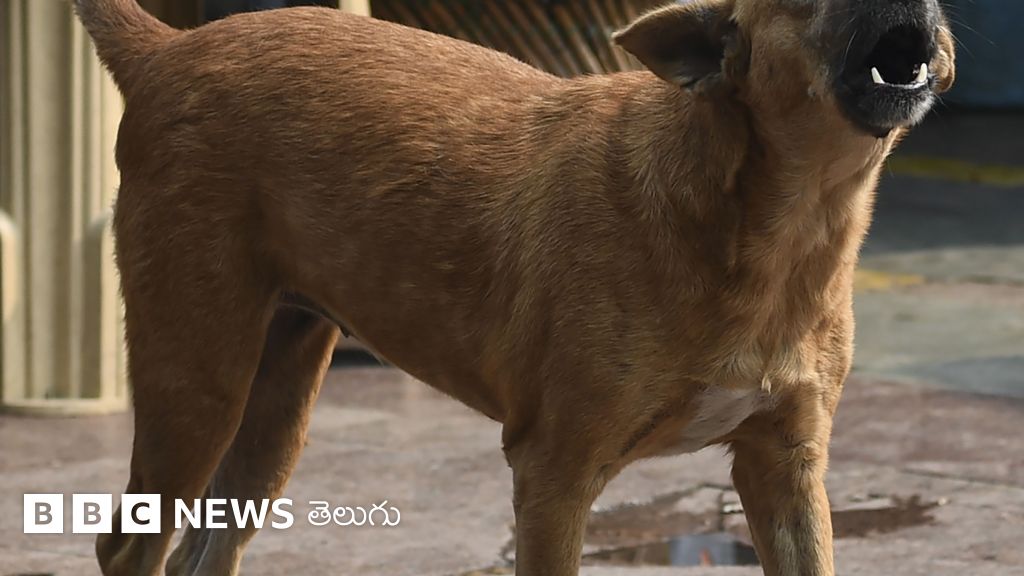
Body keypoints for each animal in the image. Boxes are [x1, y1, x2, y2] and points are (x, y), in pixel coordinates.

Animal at [73, 0, 955, 574]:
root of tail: (165, 49)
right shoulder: (554, 476)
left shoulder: (785, 470)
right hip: (198, 384)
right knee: (127, 544)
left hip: (274, 412)